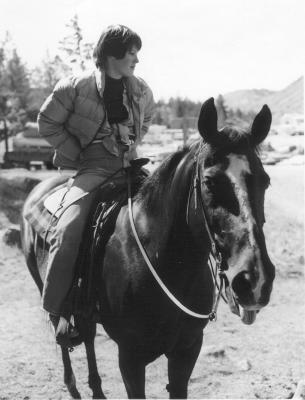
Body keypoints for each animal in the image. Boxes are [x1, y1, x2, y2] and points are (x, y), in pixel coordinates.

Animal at [20, 97, 274, 400]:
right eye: (210, 181)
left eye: (265, 181)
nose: (255, 280)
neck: (166, 263)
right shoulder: (131, 357)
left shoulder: (187, 350)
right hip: (44, 285)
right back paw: (72, 385)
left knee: (89, 335)